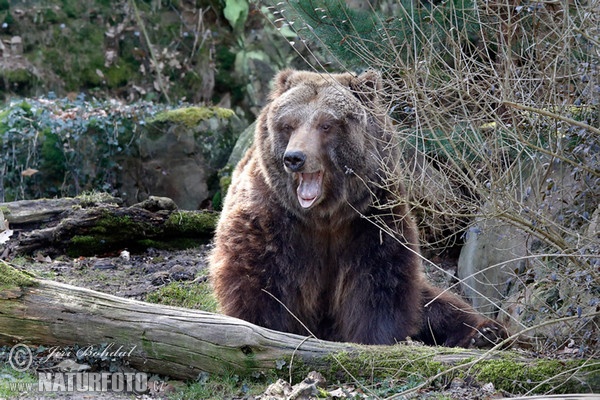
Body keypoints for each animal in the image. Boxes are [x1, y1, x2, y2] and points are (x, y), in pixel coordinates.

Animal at [209, 69, 508, 346]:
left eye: (326, 124)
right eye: (288, 124)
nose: (294, 158)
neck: (324, 215)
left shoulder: (370, 216)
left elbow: (378, 282)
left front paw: (375, 337)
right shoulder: (271, 217)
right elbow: (260, 281)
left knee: (438, 303)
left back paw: (486, 332)